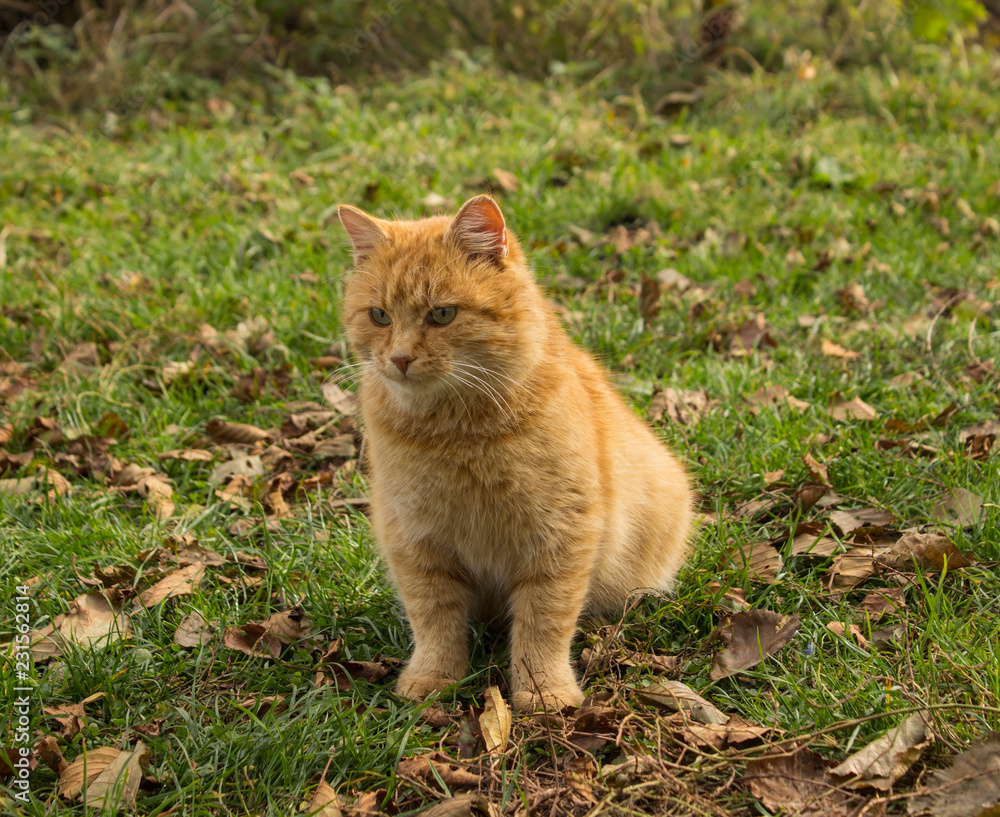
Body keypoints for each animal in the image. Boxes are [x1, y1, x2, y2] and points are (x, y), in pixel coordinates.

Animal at [340, 194, 692, 712]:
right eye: (380, 316)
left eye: (442, 315)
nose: (400, 359)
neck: (456, 434)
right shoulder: (415, 541)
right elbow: (433, 618)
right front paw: (434, 678)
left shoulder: (559, 537)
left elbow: (543, 623)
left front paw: (544, 690)